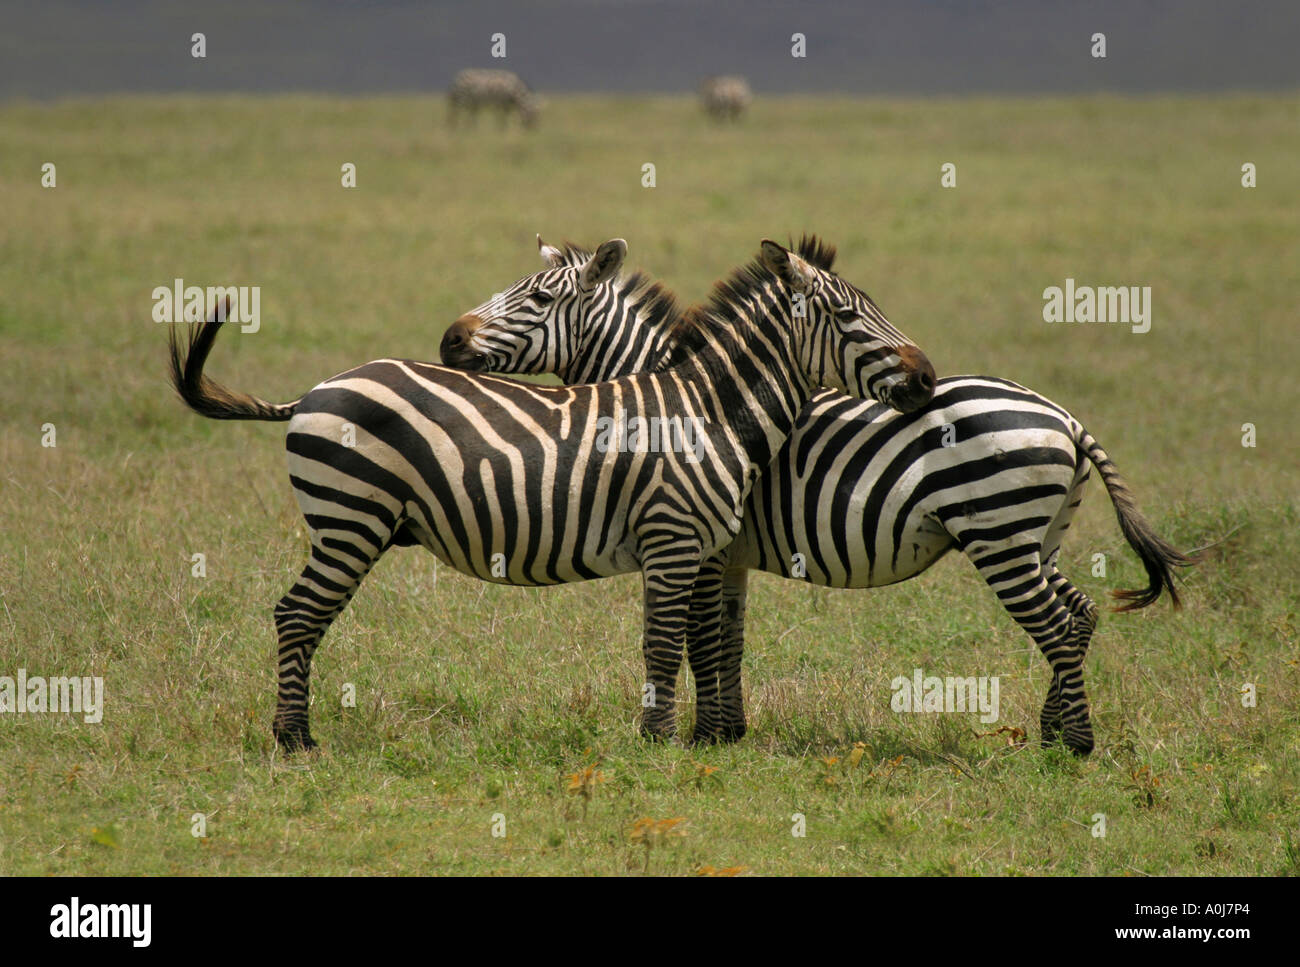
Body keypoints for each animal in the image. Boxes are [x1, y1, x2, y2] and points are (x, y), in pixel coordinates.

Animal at [168, 240, 935, 751]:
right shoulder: (675, 539)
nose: (928, 376)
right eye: (850, 318)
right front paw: (662, 745)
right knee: (298, 614)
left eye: (538, 296)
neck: (709, 408)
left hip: (351, 525)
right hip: (350, 521)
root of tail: (313, 390)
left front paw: (701, 736)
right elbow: (668, 643)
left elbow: (707, 639)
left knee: (297, 613)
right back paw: (295, 739)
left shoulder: (710, 549)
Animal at [440, 237, 1197, 755]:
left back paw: (1074, 747)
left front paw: (707, 735)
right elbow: (728, 639)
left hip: (1000, 536)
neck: (686, 394)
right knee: (1080, 612)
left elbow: (698, 638)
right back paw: (1051, 730)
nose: (449, 339)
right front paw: (731, 731)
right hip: (1039, 538)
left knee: (1059, 624)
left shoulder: (703, 547)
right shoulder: (730, 554)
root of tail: (1065, 417)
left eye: (537, 300)